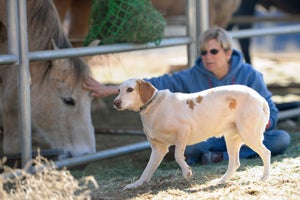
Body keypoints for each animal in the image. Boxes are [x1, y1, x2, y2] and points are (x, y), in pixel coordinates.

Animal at [113, 78, 272, 189]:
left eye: (130, 89)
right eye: (118, 90)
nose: (116, 103)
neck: (153, 106)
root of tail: (259, 98)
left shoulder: (183, 131)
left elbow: (178, 155)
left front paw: (187, 172)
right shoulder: (158, 149)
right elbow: (147, 171)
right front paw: (136, 184)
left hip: (248, 135)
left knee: (266, 153)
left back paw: (265, 177)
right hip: (232, 138)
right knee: (234, 163)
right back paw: (221, 181)